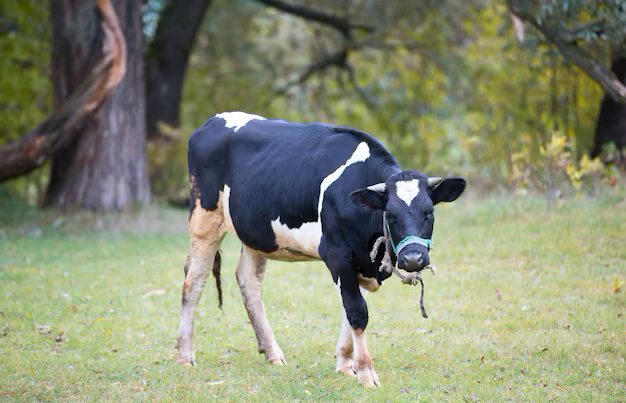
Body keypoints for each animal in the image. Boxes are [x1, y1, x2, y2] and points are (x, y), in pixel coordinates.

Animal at [176, 111, 464, 388]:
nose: (413, 257)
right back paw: (184, 356)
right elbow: (357, 311)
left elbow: (350, 308)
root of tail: (212, 121)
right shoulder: (337, 253)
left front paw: (346, 364)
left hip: (256, 231)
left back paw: (273, 354)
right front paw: (366, 372)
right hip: (204, 219)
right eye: (390, 215)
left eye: (429, 212)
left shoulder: (361, 263)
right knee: (194, 281)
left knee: (248, 280)